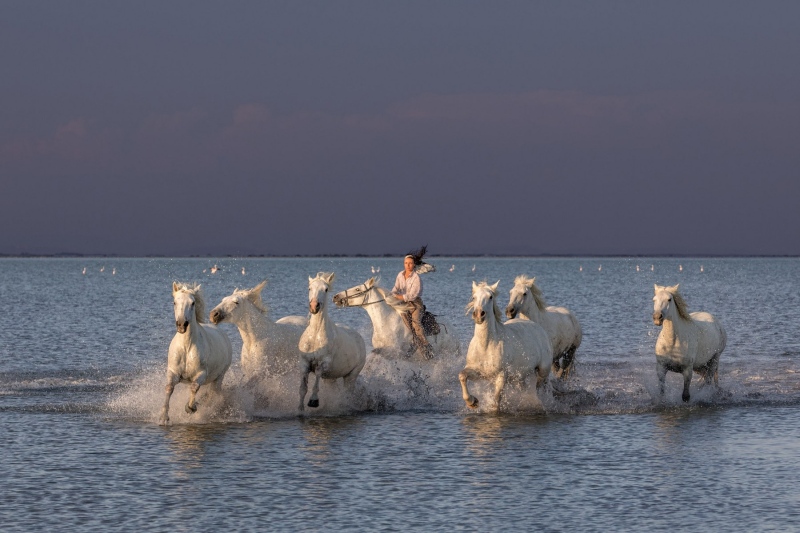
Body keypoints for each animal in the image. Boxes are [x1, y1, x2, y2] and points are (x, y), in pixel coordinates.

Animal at [160, 282, 233, 424]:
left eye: (193, 303)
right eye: (174, 302)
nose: (182, 324)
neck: (186, 347)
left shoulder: (201, 374)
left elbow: (194, 387)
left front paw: (190, 408)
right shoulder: (173, 372)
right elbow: (169, 388)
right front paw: (164, 416)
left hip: (219, 377)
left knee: (213, 393)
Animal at [296, 272, 366, 410]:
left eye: (326, 289)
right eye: (309, 288)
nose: (314, 306)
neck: (315, 336)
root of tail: (359, 338)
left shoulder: (324, 363)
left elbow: (317, 375)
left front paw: (313, 401)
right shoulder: (304, 363)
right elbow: (302, 388)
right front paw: (300, 408)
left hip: (351, 376)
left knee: (348, 393)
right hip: (331, 378)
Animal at [460, 280, 552, 410]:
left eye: (490, 297)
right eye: (474, 297)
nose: (479, 314)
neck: (486, 346)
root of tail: (537, 326)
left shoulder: (501, 376)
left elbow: (495, 402)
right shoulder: (478, 373)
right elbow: (462, 376)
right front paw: (472, 402)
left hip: (543, 370)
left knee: (539, 386)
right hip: (520, 376)